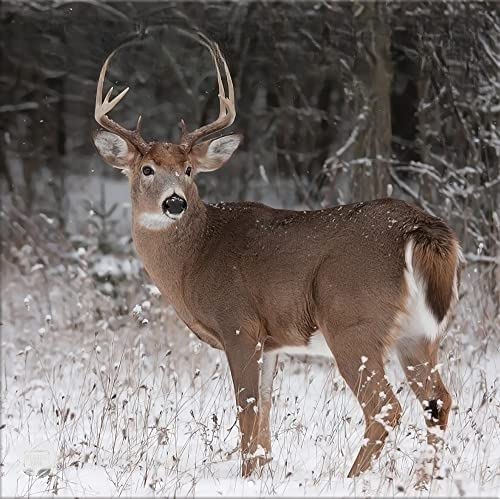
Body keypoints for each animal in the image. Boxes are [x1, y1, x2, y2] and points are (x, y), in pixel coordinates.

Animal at [91, 34, 460, 480]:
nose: (175, 202)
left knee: (386, 407)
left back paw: (351, 478)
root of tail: (419, 227)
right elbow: (265, 414)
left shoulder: (238, 324)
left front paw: (245, 476)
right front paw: (259, 472)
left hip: (353, 323)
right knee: (438, 401)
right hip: (419, 333)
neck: (194, 257)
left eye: (189, 170)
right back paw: (425, 481)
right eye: (146, 169)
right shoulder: (271, 343)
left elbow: (247, 410)